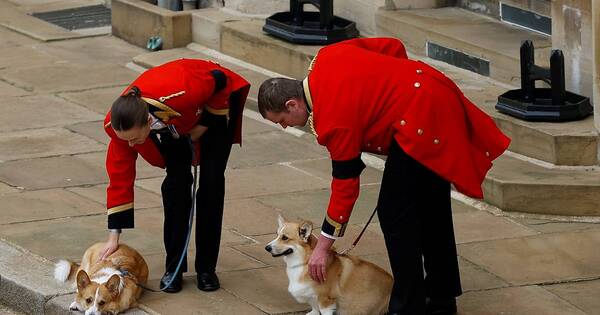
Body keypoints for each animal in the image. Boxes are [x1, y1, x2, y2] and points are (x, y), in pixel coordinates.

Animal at [266, 216, 394, 315]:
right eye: (277, 235)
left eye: (285, 238)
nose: (266, 247)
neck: (305, 262)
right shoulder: (313, 299)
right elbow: (314, 309)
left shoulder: (326, 301)